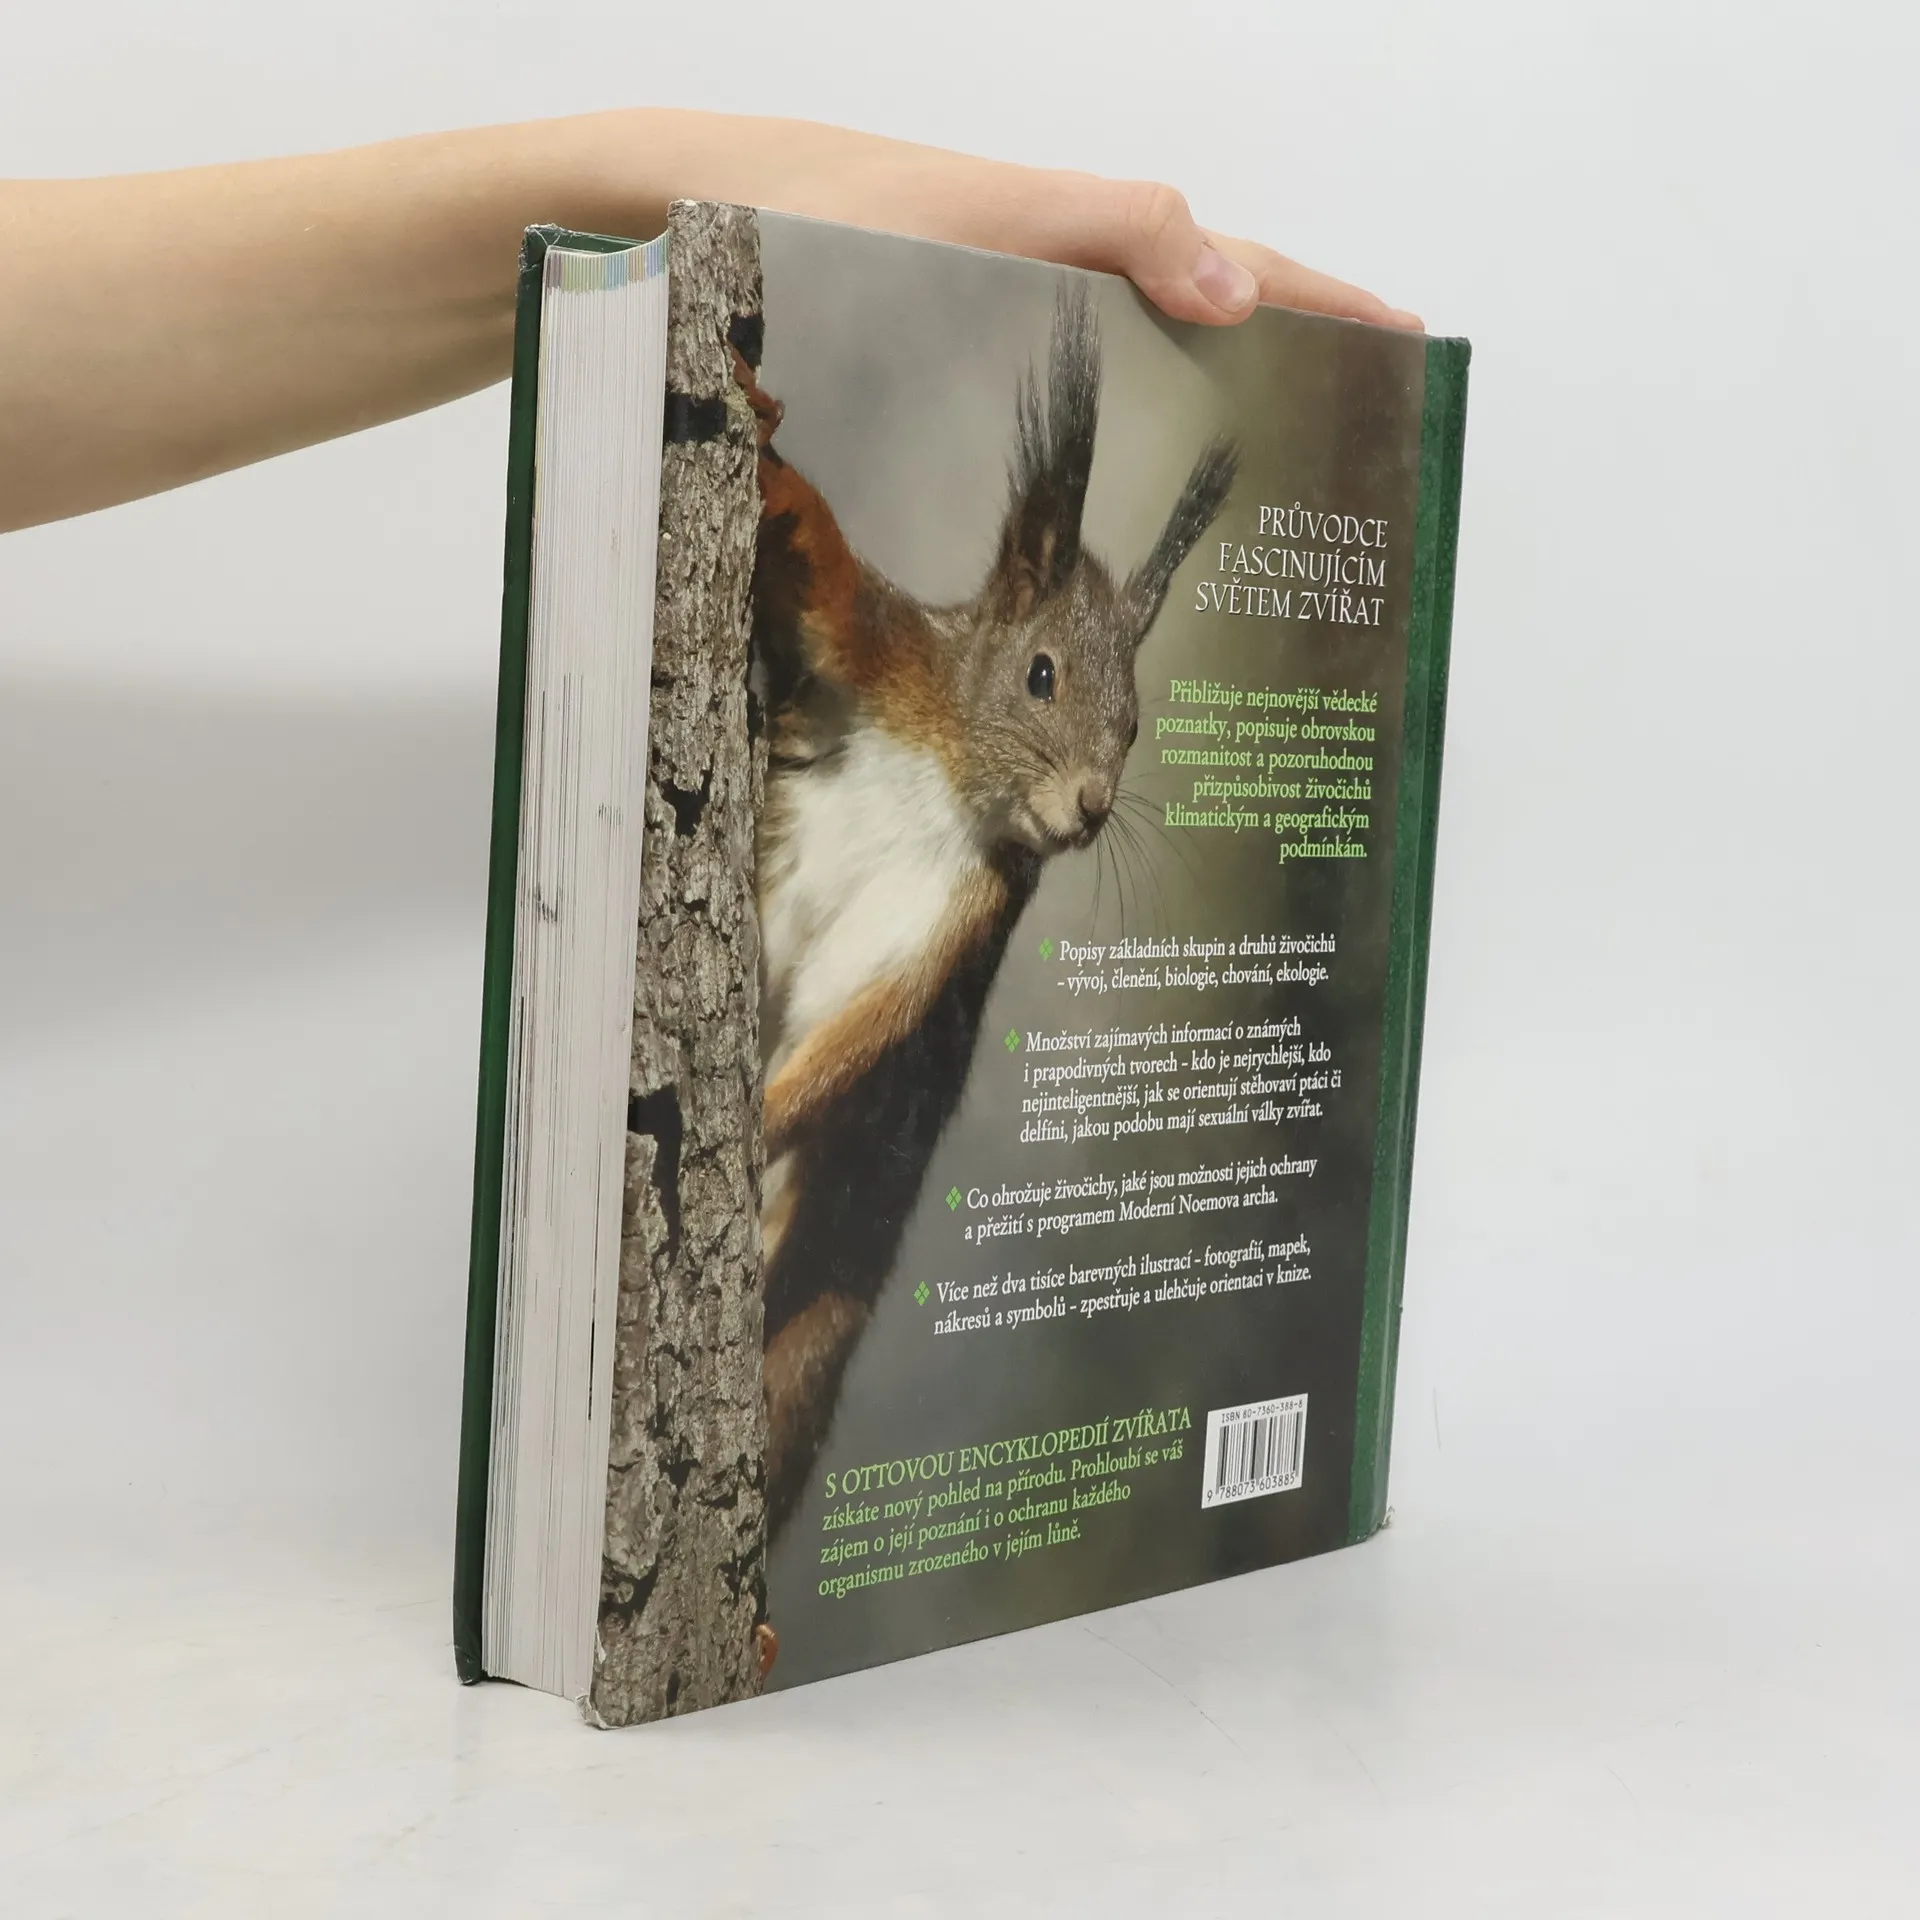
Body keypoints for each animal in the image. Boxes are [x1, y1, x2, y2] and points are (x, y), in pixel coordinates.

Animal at [737, 284, 1238, 1537]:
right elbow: (816, 549)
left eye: (1138, 725)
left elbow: (865, 1033)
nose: (1090, 809)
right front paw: (757, 421)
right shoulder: (878, 652)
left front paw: (760, 1115)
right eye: (1041, 675)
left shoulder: (952, 921)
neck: (952, 779)